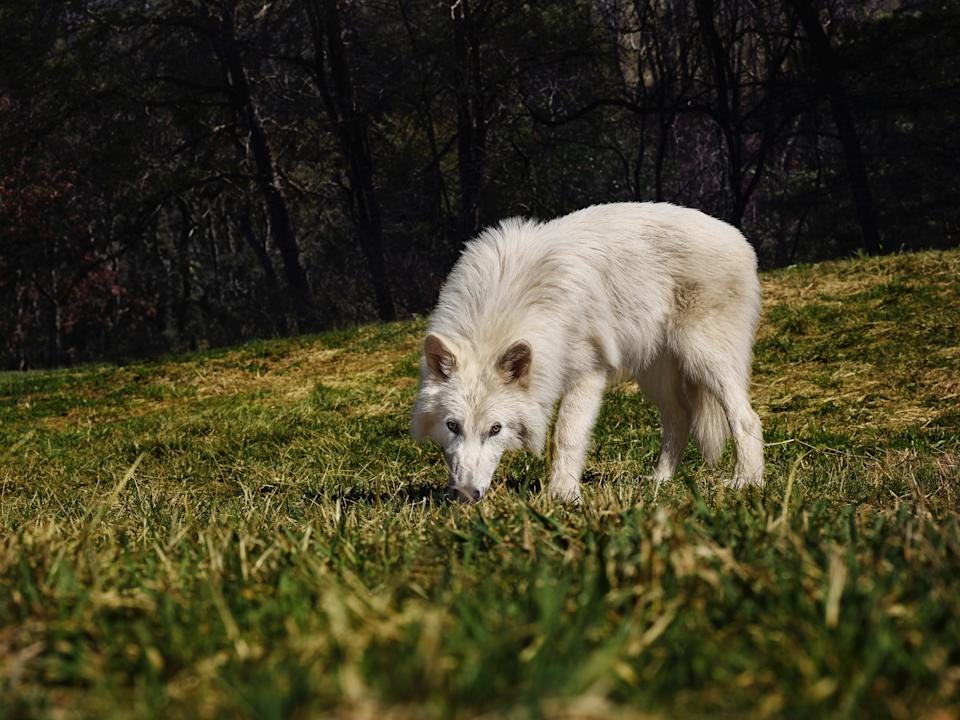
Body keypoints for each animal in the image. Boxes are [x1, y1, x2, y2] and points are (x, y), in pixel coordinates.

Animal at [411, 202, 764, 503]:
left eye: (495, 429)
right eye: (452, 426)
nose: (464, 496)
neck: (505, 306)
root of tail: (737, 236)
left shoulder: (588, 375)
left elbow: (565, 436)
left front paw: (563, 495)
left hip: (704, 359)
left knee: (746, 417)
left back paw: (747, 481)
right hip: (655, 375)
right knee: (679, 419)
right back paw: (660, 481)